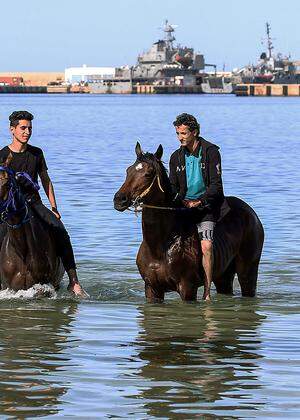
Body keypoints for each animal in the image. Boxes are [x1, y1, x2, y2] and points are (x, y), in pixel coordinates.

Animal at [113, 144, 264, 302]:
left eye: (148, 174)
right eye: (128, 170)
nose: (119, 199)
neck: (161, 246)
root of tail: (252, 214)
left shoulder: (187, 287)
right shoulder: (152, 288)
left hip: (247, 272)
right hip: (223, 275)